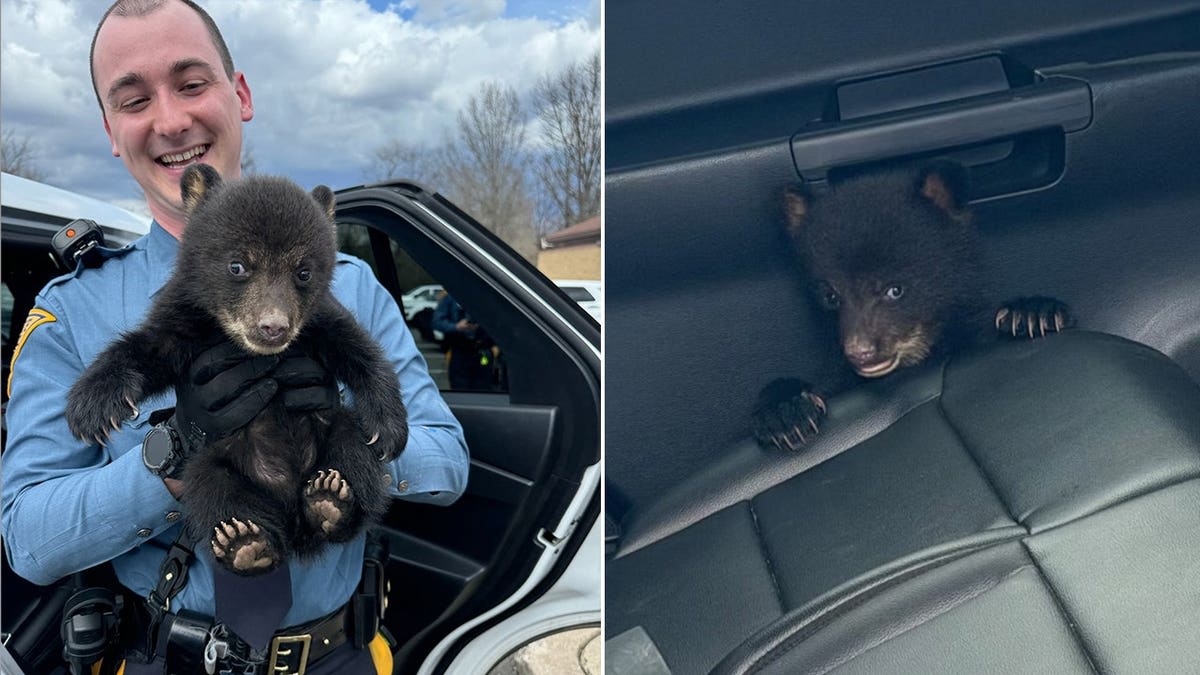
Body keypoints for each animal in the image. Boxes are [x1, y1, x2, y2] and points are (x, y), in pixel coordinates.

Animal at [65, 163, 407, 575]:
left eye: (304, 272)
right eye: (237, 265)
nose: (273, 327)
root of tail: (292, 517)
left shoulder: (318, 321)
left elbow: (359, 349)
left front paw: (389, 429)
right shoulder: (186, 318)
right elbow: (150, 349)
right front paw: (92, 407)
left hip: (335, 431)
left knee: (353, 451)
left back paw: (331, 500)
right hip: (214, 463)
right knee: (212, 490)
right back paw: (245, 543)